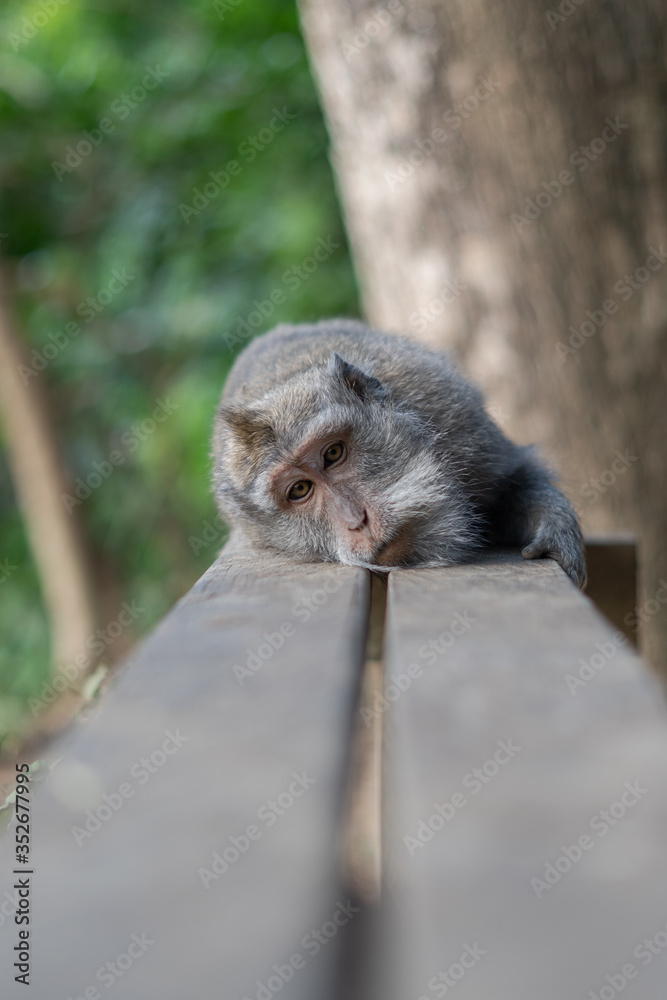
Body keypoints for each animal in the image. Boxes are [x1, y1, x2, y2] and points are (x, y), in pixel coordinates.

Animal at [212, 319, 586, 587]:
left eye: (333, 453)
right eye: (299, 490)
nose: (357, 521)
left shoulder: (459, 421)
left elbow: (514, 476)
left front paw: (552, 527)